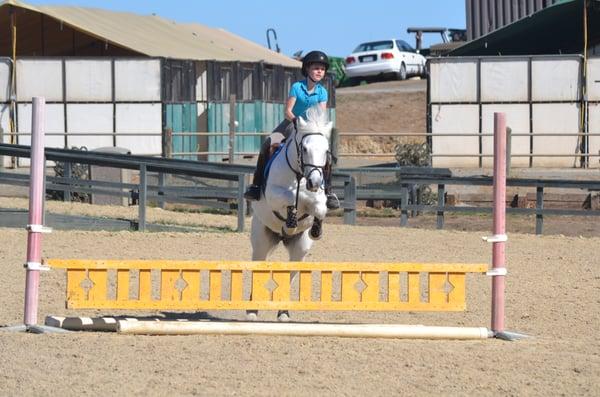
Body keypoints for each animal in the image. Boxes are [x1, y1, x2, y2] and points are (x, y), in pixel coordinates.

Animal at [247, 106, 332, 320]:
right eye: (305, 149)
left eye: (326, 151)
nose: (315, 182)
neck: (300, 174)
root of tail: (281, 237)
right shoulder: (273, 195)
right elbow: (291, 196)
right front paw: (292, 215)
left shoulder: (319, 199)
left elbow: (319, 206)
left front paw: (315, 227)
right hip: (261, 240)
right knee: (258, 266)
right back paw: (251, 310)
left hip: (300, 246)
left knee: (292, 271)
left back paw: (283, 312)